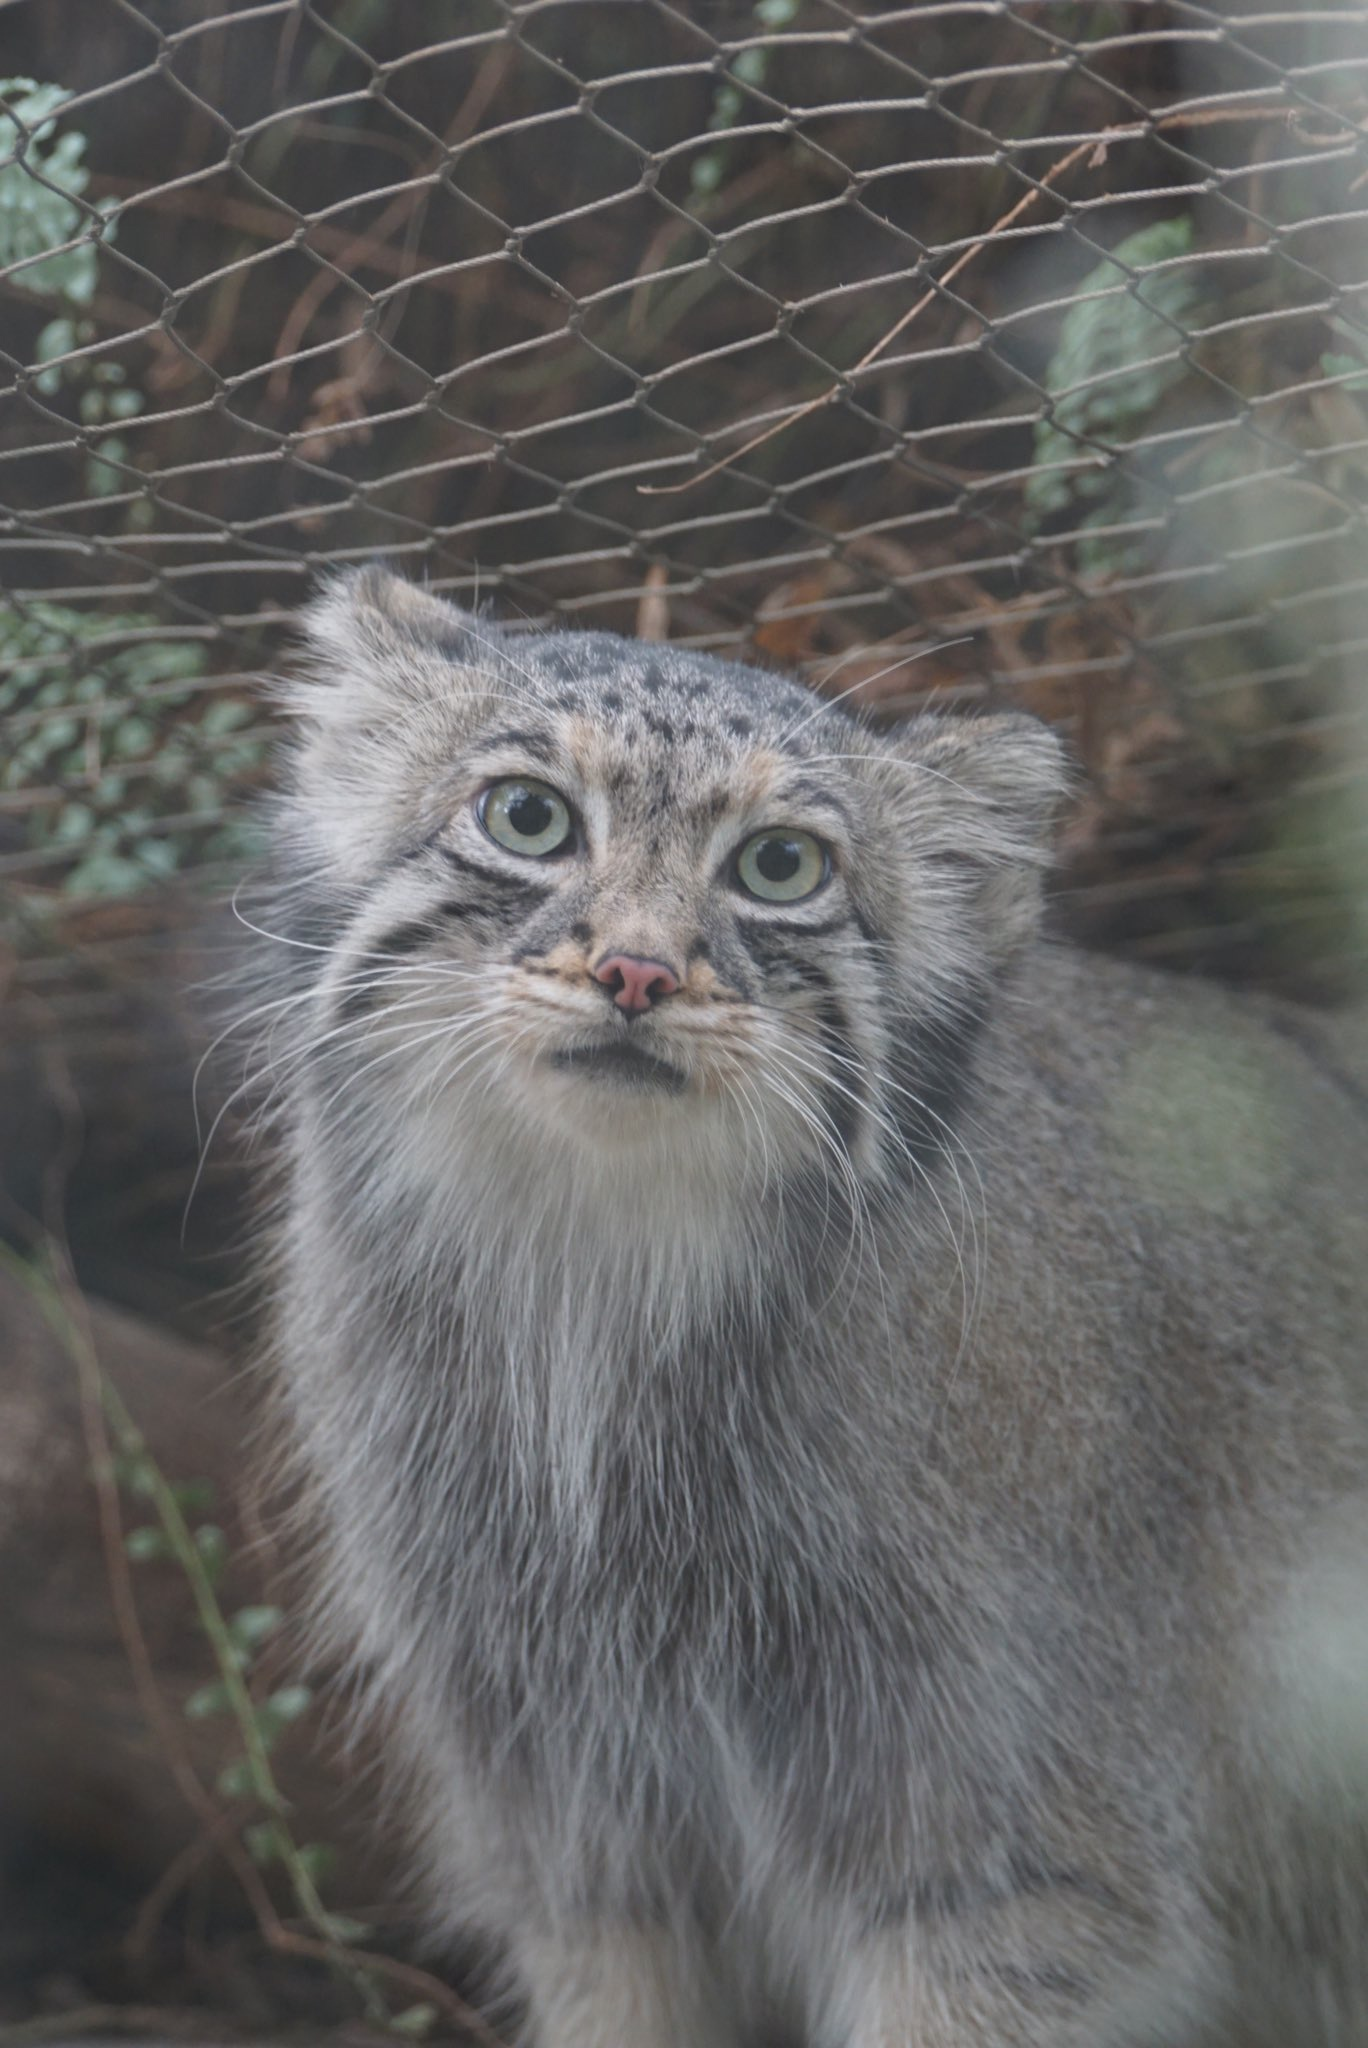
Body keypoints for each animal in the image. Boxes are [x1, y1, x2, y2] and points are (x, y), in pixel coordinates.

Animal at [255, 569, 1368, 2048]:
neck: (596, 1288)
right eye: (527, 817)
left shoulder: (1016, 1841)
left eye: (780, 867)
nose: (637, 972)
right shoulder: (571, 1816)